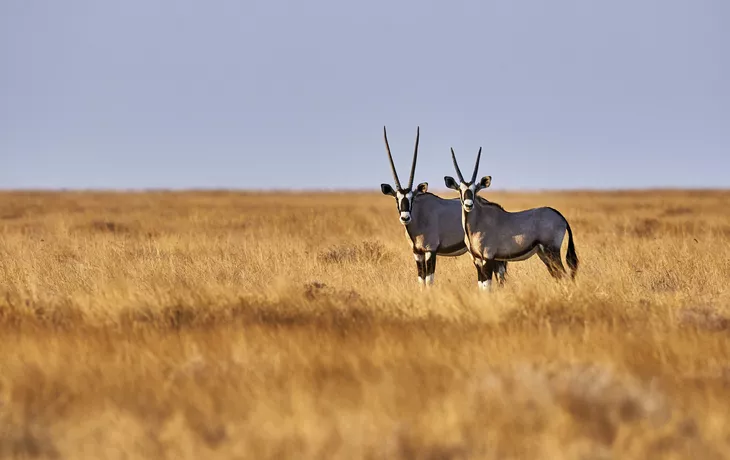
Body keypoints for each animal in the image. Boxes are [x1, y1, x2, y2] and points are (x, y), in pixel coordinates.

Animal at [382, 126, 506, 288]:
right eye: (397, 198)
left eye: (412, 198)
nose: (405, 217)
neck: (419, 217)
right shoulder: (417, 253)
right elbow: (421, 280)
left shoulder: (431, 250)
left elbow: (429, 280)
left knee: (500, 273)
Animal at [440, 147, 576, 292]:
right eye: (460, 189)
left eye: (475, 189)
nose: (469, 205)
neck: (476, 224)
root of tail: (560, 217)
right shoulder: (476, 259)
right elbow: (481, 286)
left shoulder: (488, 257)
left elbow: (487, 287)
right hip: (544, 254)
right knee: (558, 276)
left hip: (552, 251)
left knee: (564, 275)